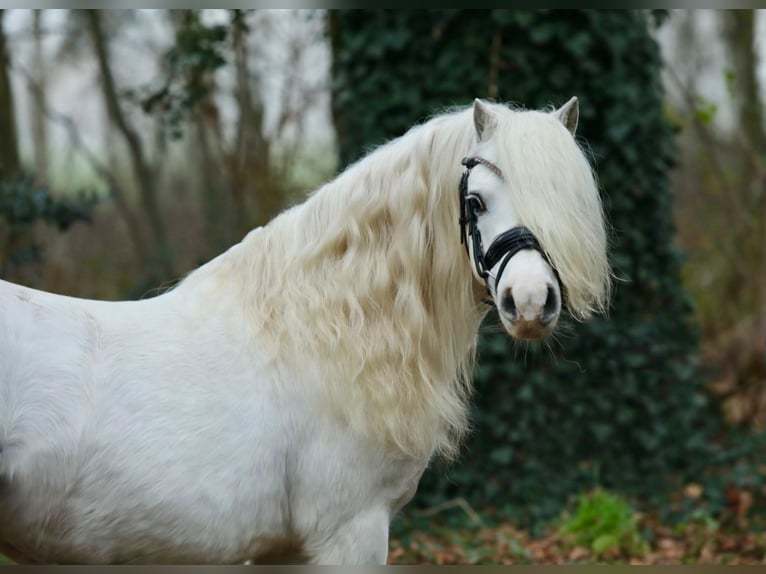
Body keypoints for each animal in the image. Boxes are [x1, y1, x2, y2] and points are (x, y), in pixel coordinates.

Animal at [0, 99, 612, 568]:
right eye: (476, 202)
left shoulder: (284, 549)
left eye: (569, 204)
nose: (529, 302)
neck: (322, 337)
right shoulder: (349, 534)